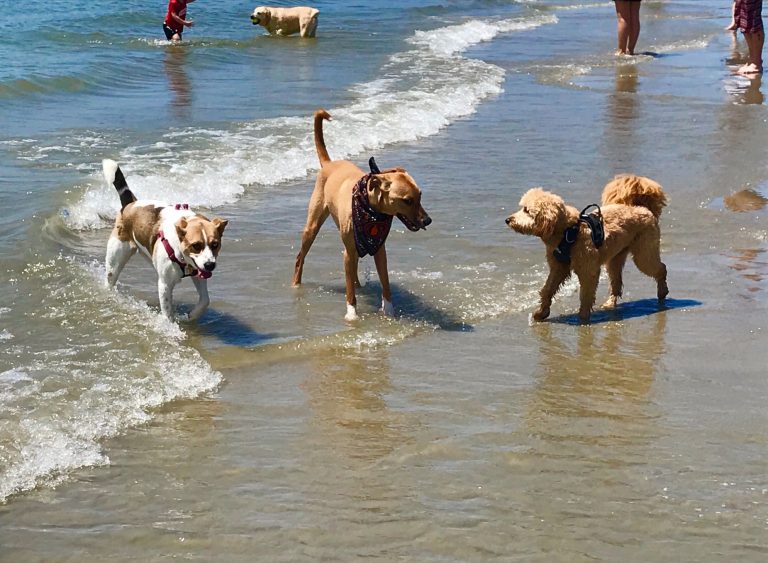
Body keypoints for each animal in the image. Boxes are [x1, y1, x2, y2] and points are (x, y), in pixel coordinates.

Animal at [105, 161, 231, 324]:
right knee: (110, 278)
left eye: (215, 245)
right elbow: (167, 313)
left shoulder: (198, 272)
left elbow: (205, 300)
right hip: (115, 261)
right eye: (196, 246)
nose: (210, 265)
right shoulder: (165, 284)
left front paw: (191, 316)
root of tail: (131, 204)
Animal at [292, 110, 432, 322]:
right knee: (301, 257)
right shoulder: (349, 252)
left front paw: (389, 312)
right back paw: (296, 284)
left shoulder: (380, 250)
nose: (427, 220)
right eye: (407, 200)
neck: (372, 212)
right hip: (313, 226)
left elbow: (386, 283)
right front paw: (352, 314)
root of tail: (329, 163)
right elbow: (349, 291)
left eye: (420, 196)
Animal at [504, 174, 664, 324]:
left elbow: (586, 294)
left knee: (661, 269)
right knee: (616, 282)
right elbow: (547, 289)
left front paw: (583, 317)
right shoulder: (558, 267)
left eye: (526, 210)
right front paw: (541, 313)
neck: (569, 232)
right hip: (615, 259)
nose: (508, 220)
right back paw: (609, 303)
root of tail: (643, 208)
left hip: (644, 254)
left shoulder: (588, 270)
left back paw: (663, 292)